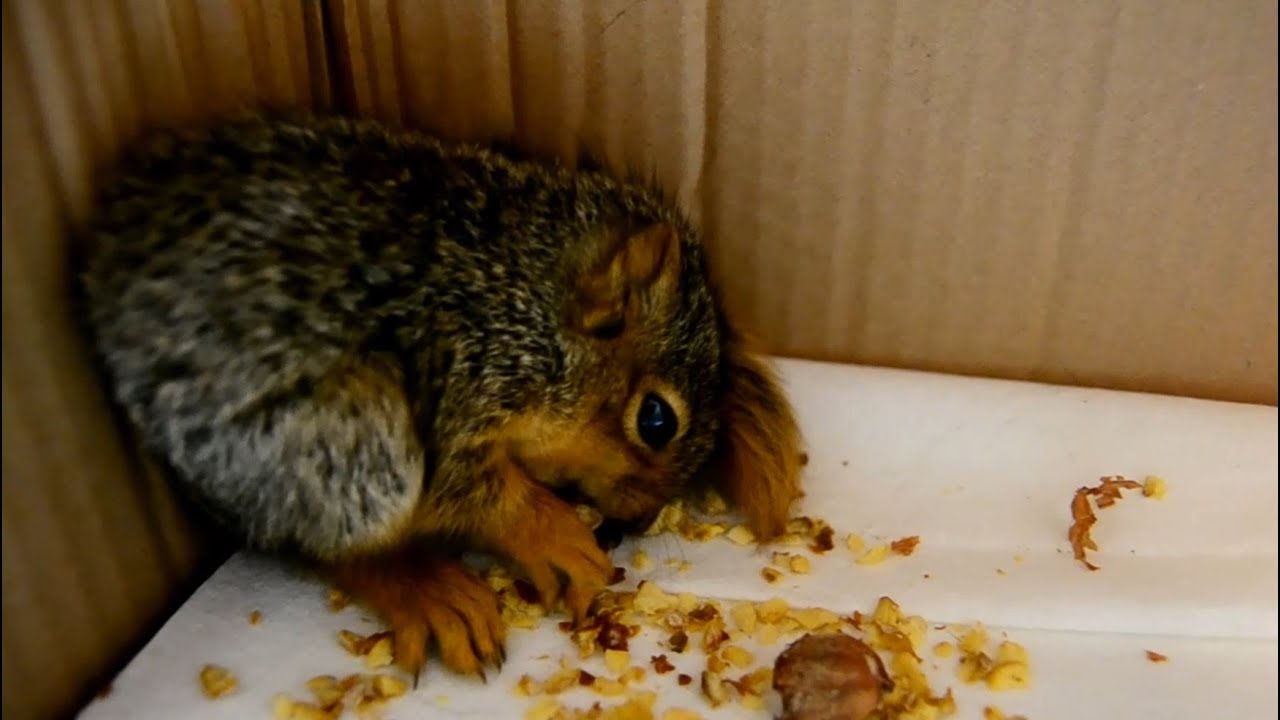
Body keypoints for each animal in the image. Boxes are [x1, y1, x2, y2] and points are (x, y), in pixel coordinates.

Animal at [78, 114, 804, 682]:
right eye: (656, 419)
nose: (637, 517)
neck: (528, 291)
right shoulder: (466, 373)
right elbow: (478, 489)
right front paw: (557, 537)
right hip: (340, 437)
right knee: (324, 540)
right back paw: (429, 590)